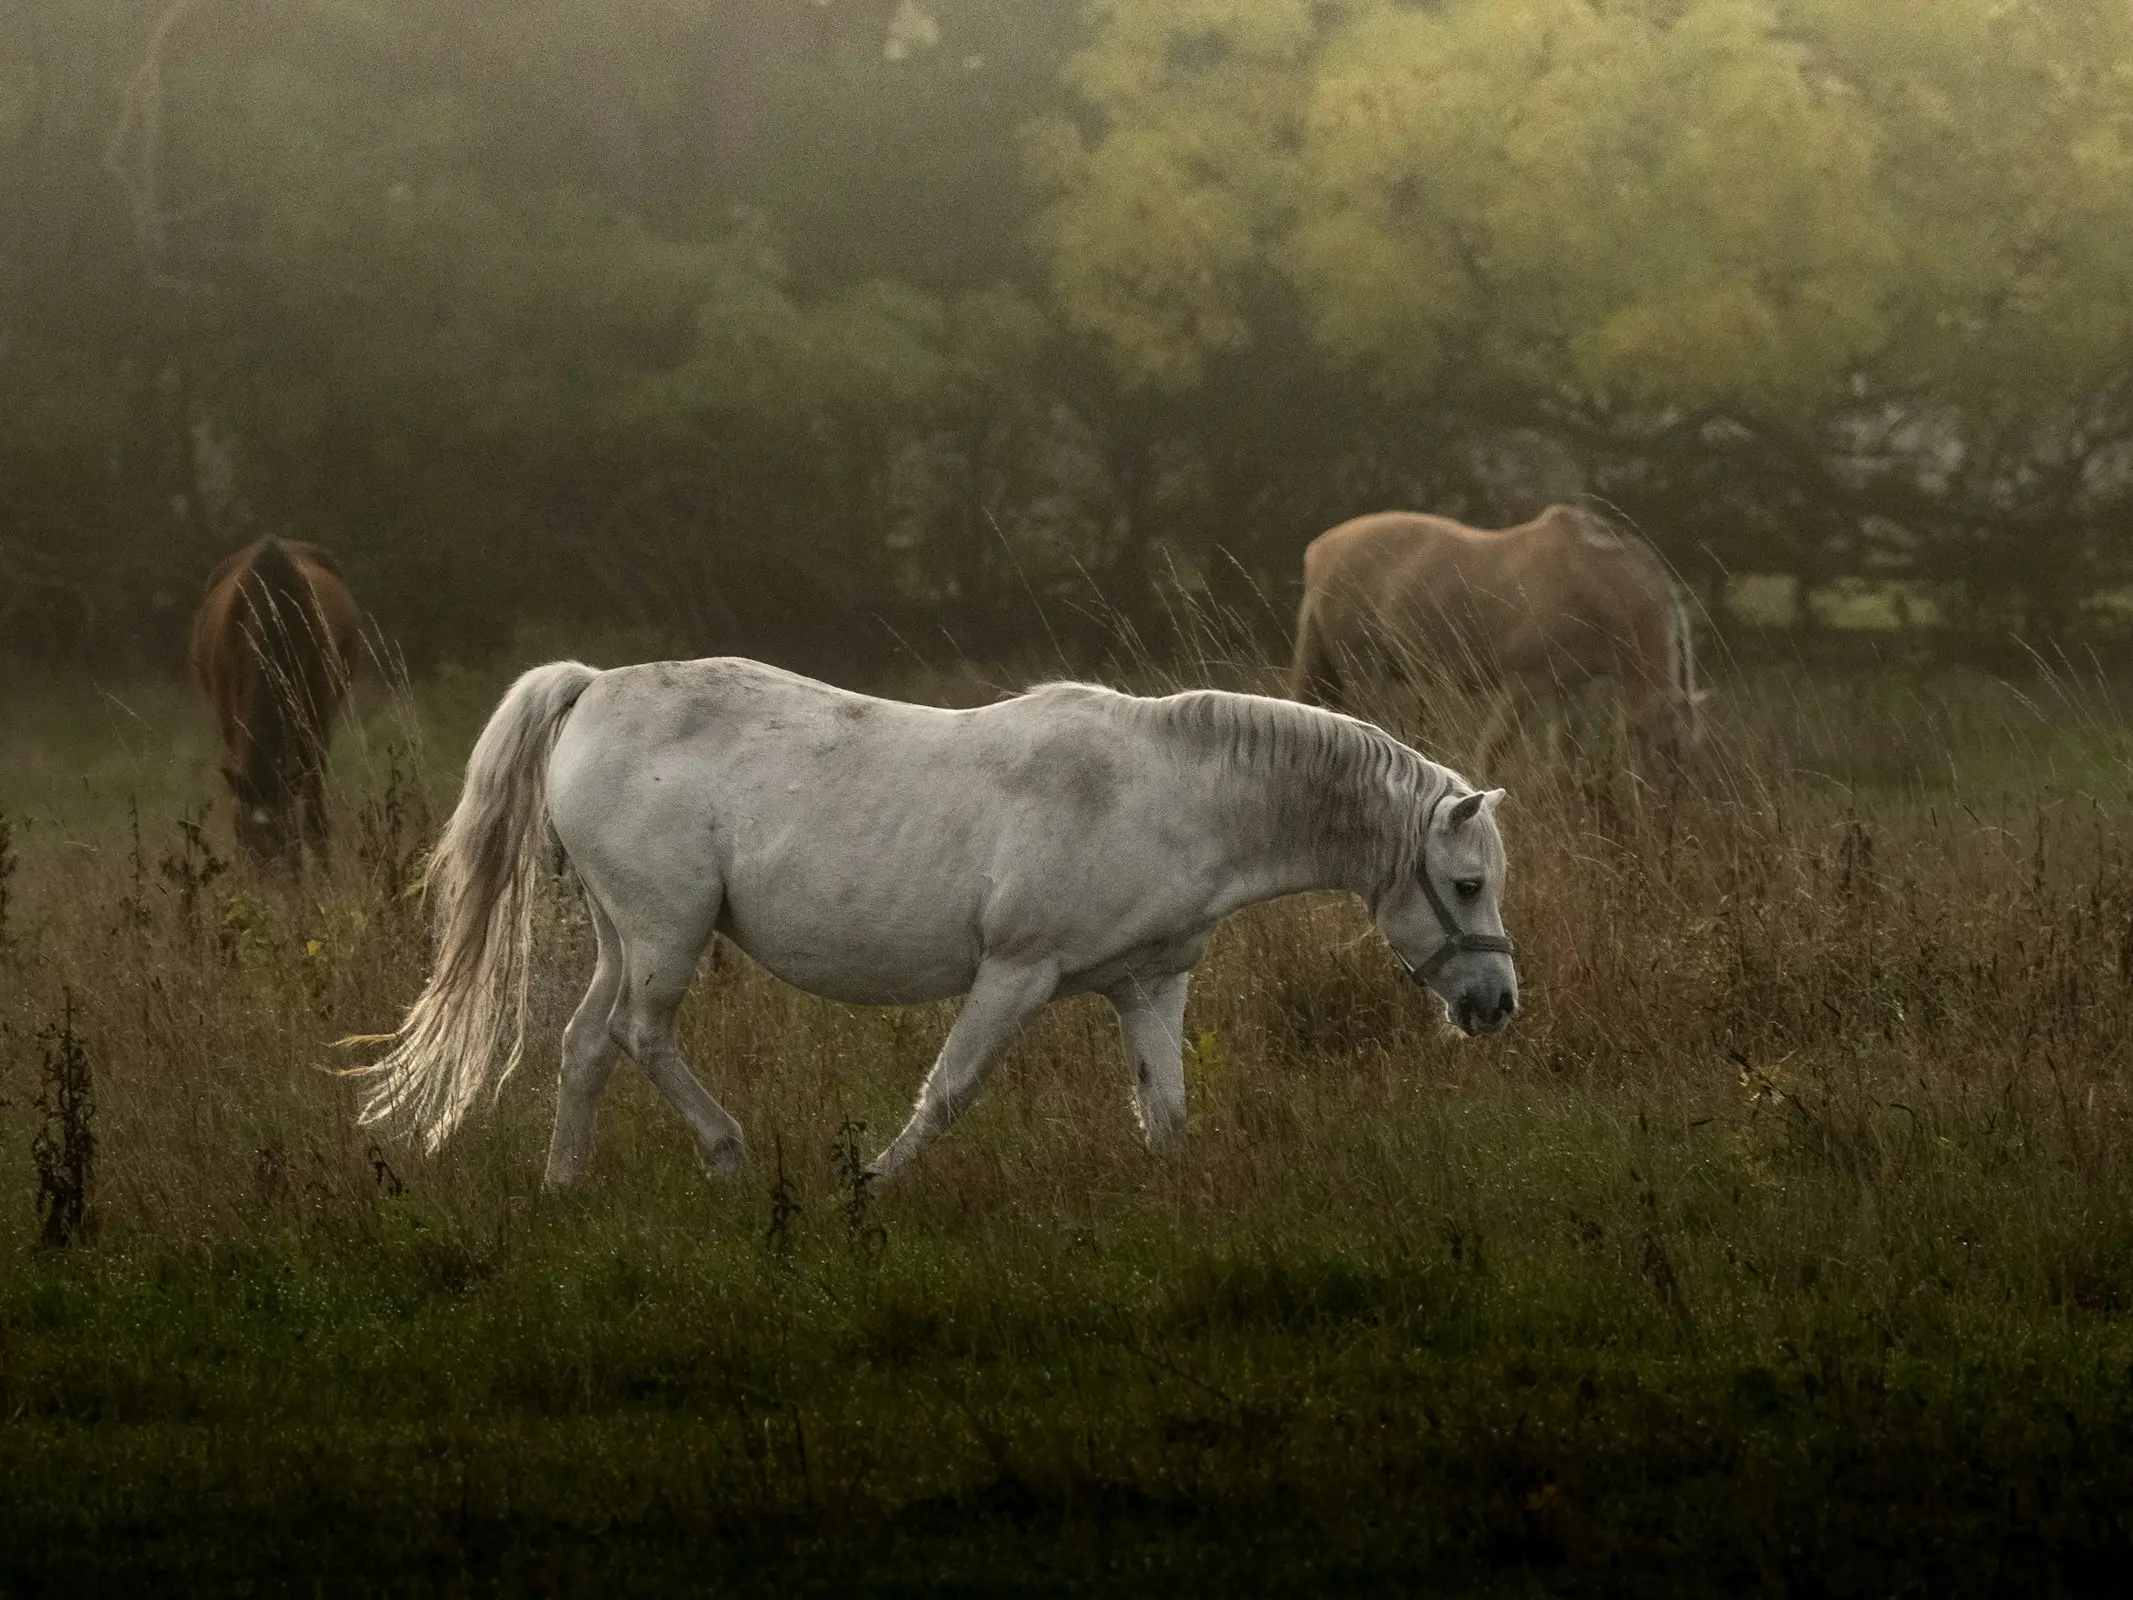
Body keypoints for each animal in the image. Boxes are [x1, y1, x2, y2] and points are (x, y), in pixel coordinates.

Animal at [191, 539, 362, 866]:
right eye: (242, 836)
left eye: (287, 835)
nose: (273, 877)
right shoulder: (230, 718)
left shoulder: (317, 723)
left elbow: (315, 819)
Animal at [354, 652, 1518, 1194]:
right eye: (1466, 885)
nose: (1497, 1004)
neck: (1170, 793)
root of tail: (593, 687)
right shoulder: (1016, 972)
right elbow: (949, 1091)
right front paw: (867, 1186)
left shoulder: (1148, 984)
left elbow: (1167, 1112)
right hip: (668, 932)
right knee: (642, 1037)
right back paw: (729, 1156)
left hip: (623, 934)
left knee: (587, 1044)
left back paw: (564, 1185)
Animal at [1288, 507, 1706, 772]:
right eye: (1665, 750)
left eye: (1687, 756)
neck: (1588, 581)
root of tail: (1319, 550)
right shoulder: (1525, 684)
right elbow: (1490, 756)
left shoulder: (1572, 692)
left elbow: (1564, 769)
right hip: (1362, 671)